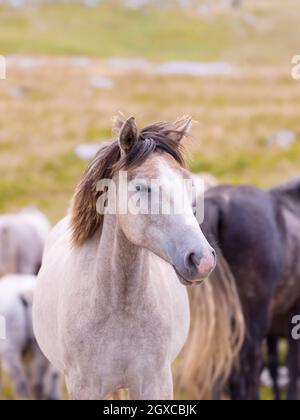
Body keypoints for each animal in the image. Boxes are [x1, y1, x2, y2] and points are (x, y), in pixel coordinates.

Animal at [32, 115, 216, 400]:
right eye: (142, 187)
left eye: (189, 184)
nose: (202, 259)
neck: (118, 306)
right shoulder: (84, 387)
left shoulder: (156, 384)